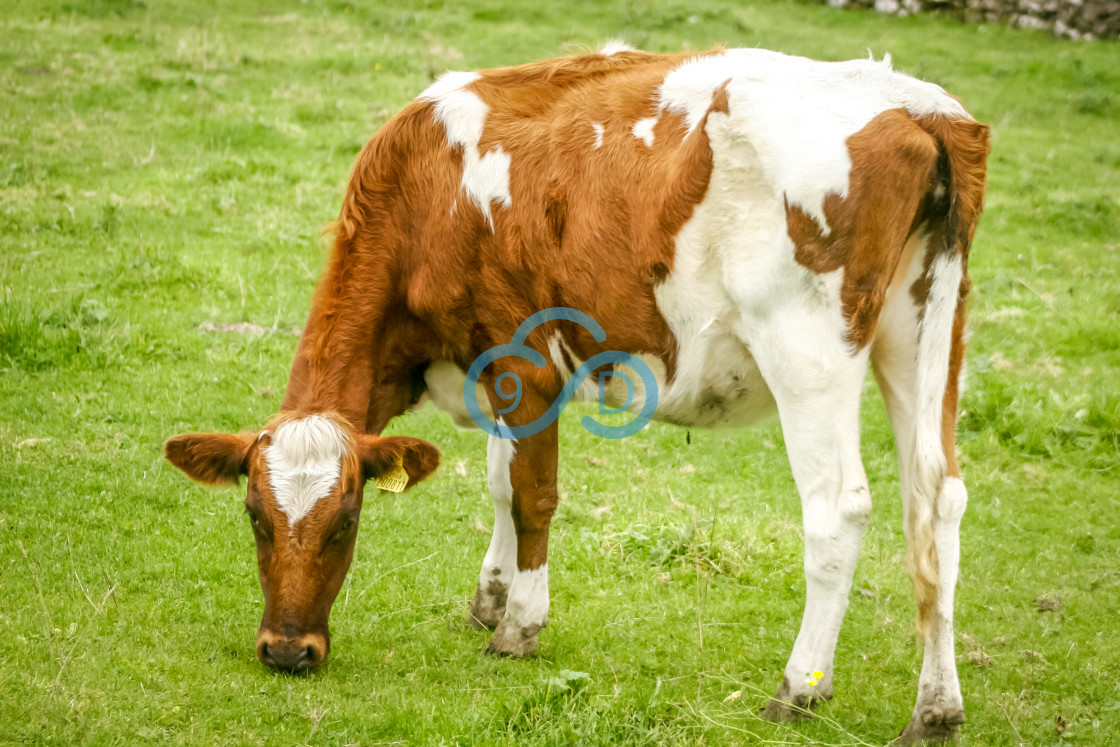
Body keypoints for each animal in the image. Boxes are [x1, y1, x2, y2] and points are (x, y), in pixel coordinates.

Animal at [165, 45, 990, 743]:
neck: (430, 188)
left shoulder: (523, 360)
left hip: (808, 347)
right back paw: (936, 707)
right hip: (925, 325)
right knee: (936, 500)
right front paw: (490, 597)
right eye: (254, 514)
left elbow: (532, 493)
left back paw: (800, 688)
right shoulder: (492, 366)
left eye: (345, 520)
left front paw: (519, 625)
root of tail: (910, 101)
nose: (286, 650)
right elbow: (501, 483)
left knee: (838, 509)